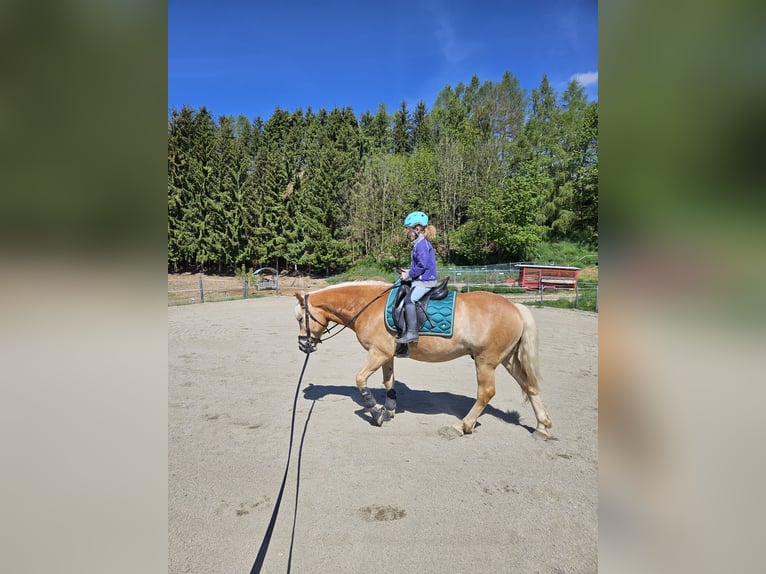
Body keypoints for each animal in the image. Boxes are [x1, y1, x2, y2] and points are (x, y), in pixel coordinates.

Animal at [292, 282, 552, 438]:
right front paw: (389, 410)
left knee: (486, 393)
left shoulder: (377, 353)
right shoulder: (387, 355)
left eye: (300, 318)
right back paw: (542, 427)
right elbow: (388, 383)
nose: (303, 346)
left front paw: (376, 413)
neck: (369, 306)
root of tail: (515, 307)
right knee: (529, 386)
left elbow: (360, 380)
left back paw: (462, 426)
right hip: (508, 359)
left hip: (486, 361)